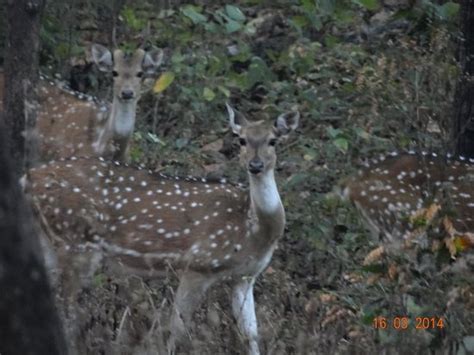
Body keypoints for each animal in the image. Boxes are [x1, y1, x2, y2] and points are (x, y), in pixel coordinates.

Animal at [26, 106, 300, 355]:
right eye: (241, 140)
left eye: (273, 140)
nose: (255, 165)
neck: (253, 232)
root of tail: (28, 177)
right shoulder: (198, 265)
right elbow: (176, 327)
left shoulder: (245, 277)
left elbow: (251, 334)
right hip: (76, 241)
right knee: (67, 310)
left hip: (49, 240)